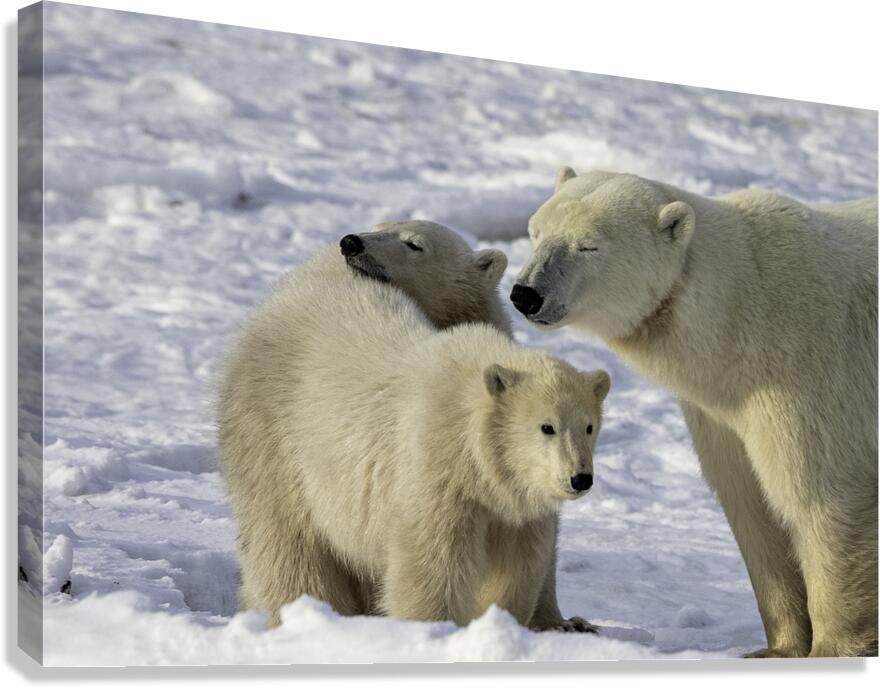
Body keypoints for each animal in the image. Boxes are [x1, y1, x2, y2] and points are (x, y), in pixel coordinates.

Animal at [219, 220, 595, 631]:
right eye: (379, 226)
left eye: (415, 245)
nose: (351, 242)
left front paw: (564, 621)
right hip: (274, 431)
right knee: (288, 541)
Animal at [510, 167, 878, 657]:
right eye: (536, 231)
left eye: (588, 245)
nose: (525, 294)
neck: (742, 312)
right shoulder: (723, 412)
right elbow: (748, 503)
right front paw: (775, 648)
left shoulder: (809, 372)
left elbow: (821, 493)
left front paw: (831, 649)